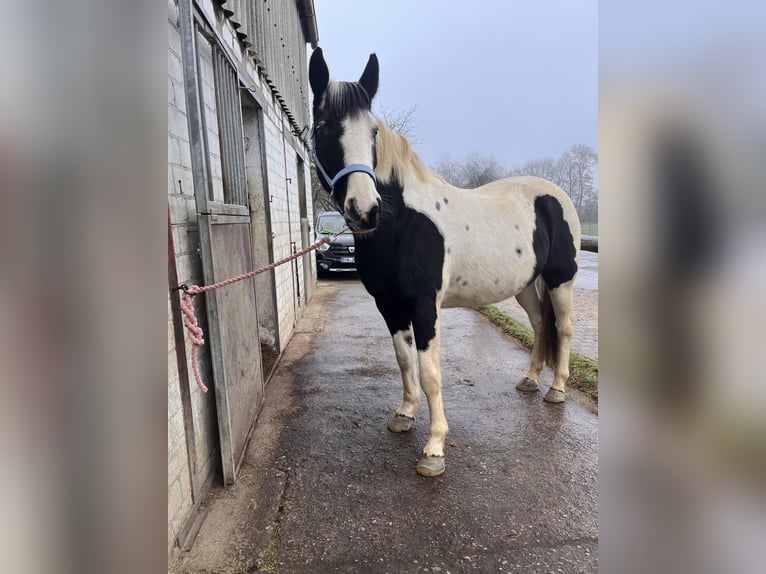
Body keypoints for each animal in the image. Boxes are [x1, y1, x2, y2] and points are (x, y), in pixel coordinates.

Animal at [309, 48, 581, 477]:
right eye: (322, 128)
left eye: (372, 133)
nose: (365, 210)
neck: (402, 222)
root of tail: (555, 195)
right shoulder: (389, 306)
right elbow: (404, 361)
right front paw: (404, 415)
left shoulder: (424, 306)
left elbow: (430, 373)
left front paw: (434, 449)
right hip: (525, 286)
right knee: (540, 324)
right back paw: (530, 379)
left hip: (560, 280)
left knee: (565, 328)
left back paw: (556, 389)